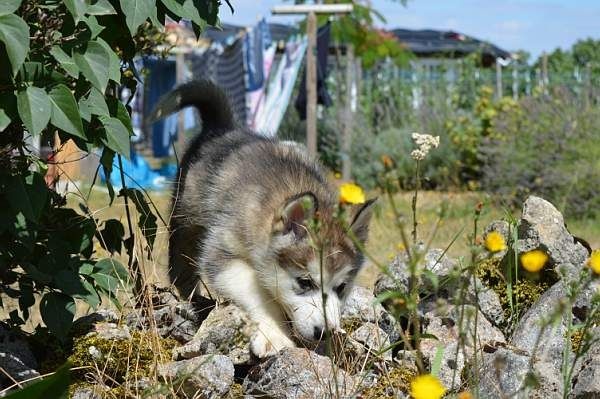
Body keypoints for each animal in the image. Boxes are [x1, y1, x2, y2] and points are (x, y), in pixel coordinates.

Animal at [151, 79, 376, 358]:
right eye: (305, 282)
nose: (324, 332)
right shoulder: (223, 251)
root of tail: (223, 129)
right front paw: (274, 334)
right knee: (181, 267)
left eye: (342, 287)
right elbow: (256, 291)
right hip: (185, 221)